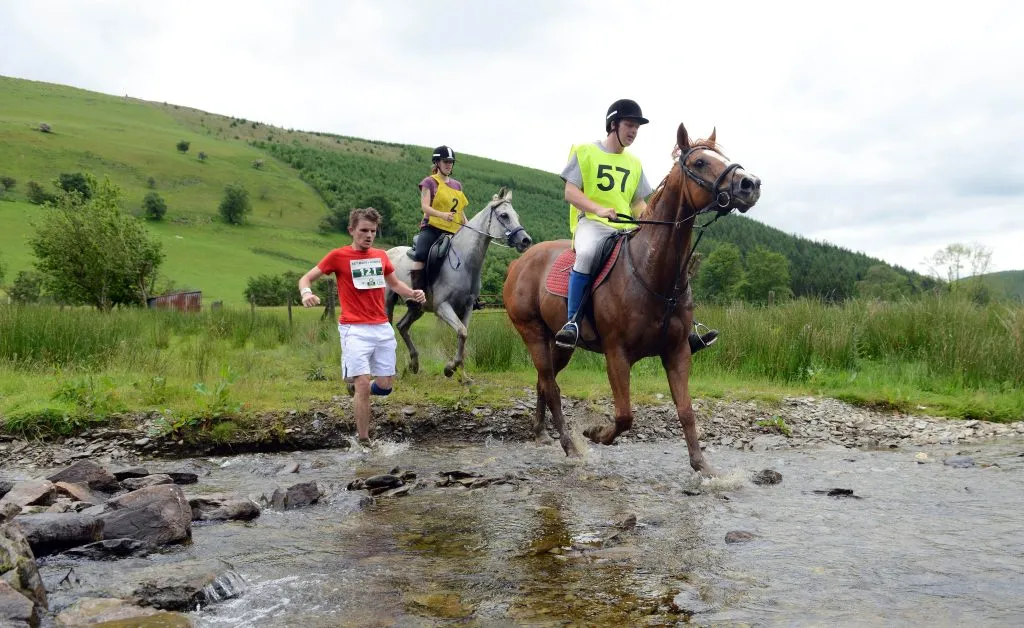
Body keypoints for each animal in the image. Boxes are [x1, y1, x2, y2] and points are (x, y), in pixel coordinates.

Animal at [385, 186, 532, 377]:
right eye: (504, 215)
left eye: (516, 216)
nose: (526, 240)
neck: (464, 263)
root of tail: (387, 252)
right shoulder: (443, 307)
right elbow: (462, 332)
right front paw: (450, 368)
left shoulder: (467, 307)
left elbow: (463, 334)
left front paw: (461, 373)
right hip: (388, 299)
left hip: (416, 308)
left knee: (402, 326)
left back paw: (414, 364)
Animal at [502, 123, 761, 475]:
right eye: (700, 163)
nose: (751, 184)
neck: (652, 272)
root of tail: (520, 262)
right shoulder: (617, 354)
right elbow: (625, 416)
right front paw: (595, 433)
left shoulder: (677, 352)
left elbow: (686, 411)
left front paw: (703, 468)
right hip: (532, 333)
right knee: (552, 387)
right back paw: (571, 447)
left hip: (559, 344)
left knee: (545, 380)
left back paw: (542, 432)